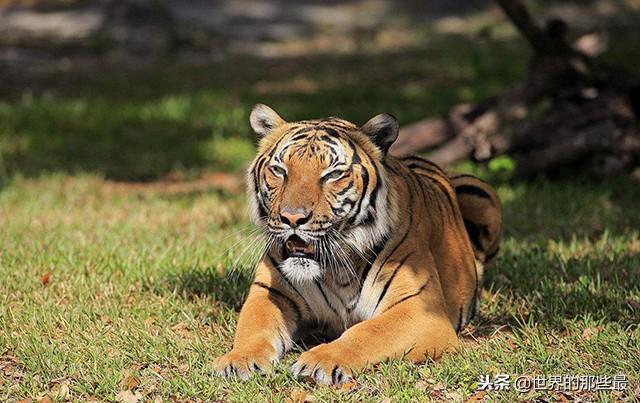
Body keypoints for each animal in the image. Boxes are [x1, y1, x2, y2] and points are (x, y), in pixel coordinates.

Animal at [213, 104, 502, 385]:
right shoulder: (271, 291)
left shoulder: (422, 309)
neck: (335, 269)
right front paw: (238, 360)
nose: (292, 218)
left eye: (332, 174)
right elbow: (254, 328)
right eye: (279, 171)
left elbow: (368, 332)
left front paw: (320, 361)